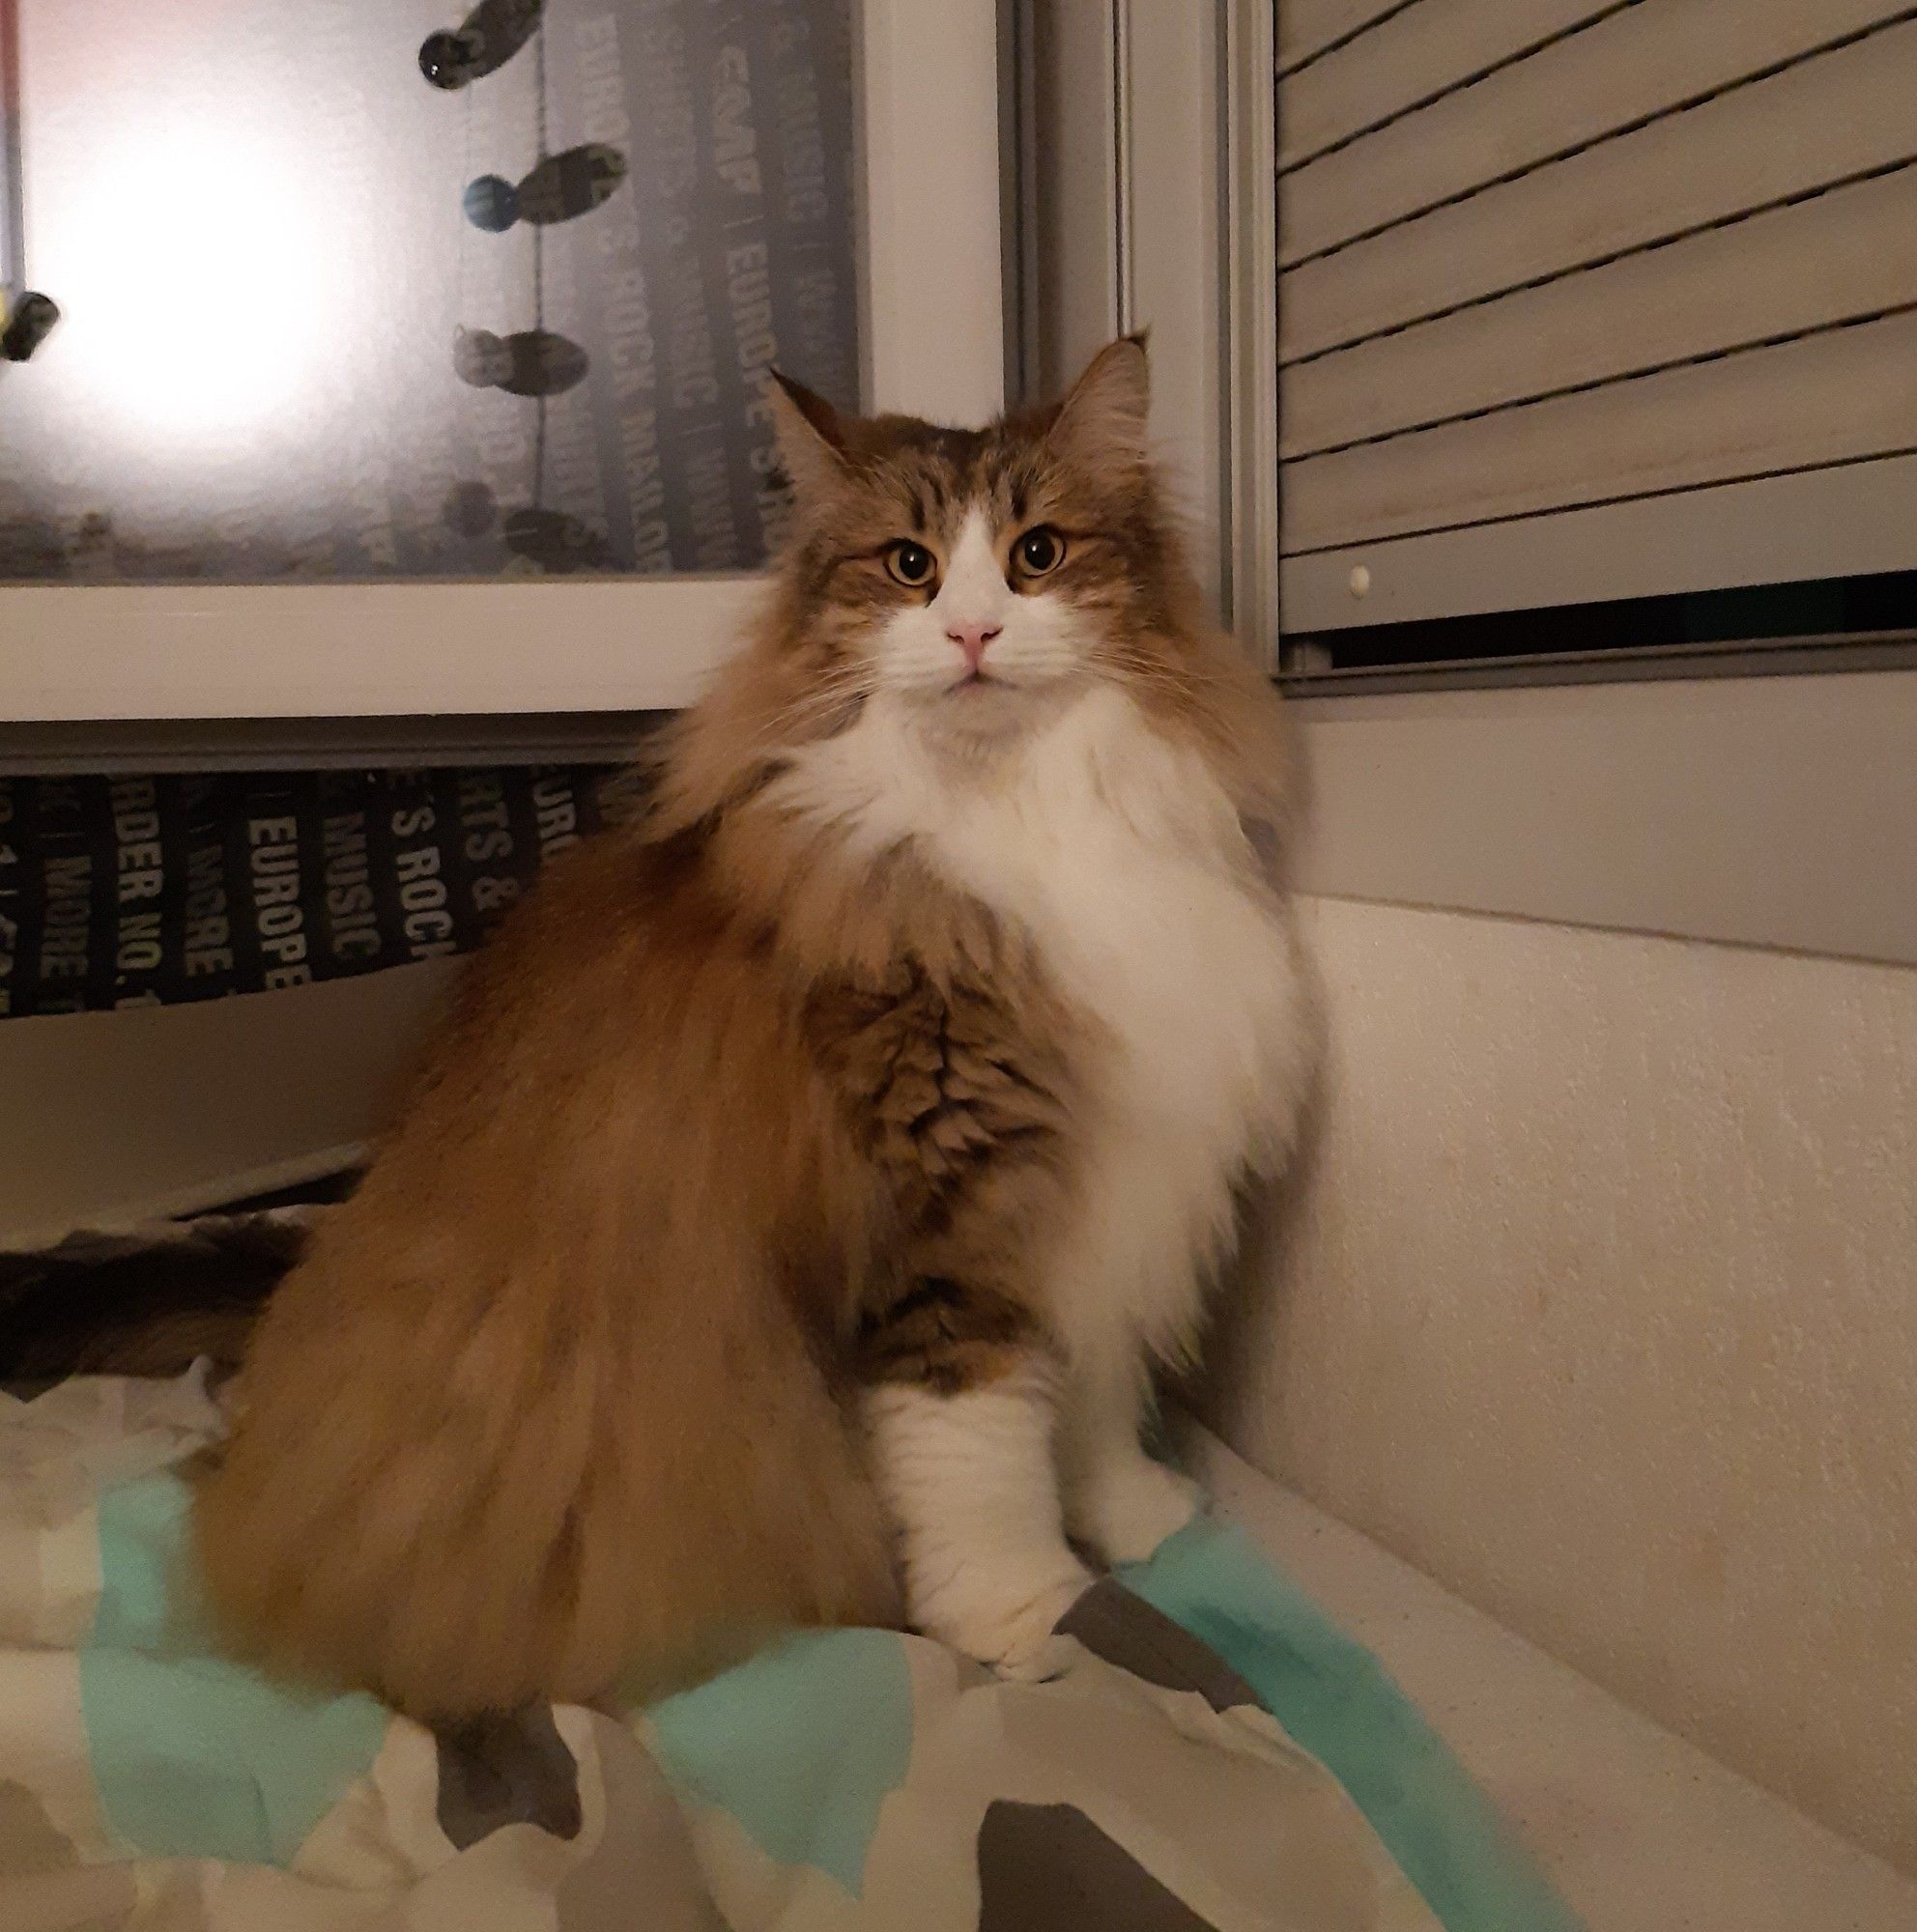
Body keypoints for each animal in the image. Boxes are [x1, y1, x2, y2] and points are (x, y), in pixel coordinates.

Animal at [195, 336, 1314, 1723]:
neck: (1025, 819)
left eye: (1039, 553)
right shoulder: (954, 1210)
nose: (974, 631)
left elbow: (1097, 1393)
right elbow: (981, 1444)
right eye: (910, 566)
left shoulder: (1122, 1183)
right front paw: (1029, 1617)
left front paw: (1135, 1517)